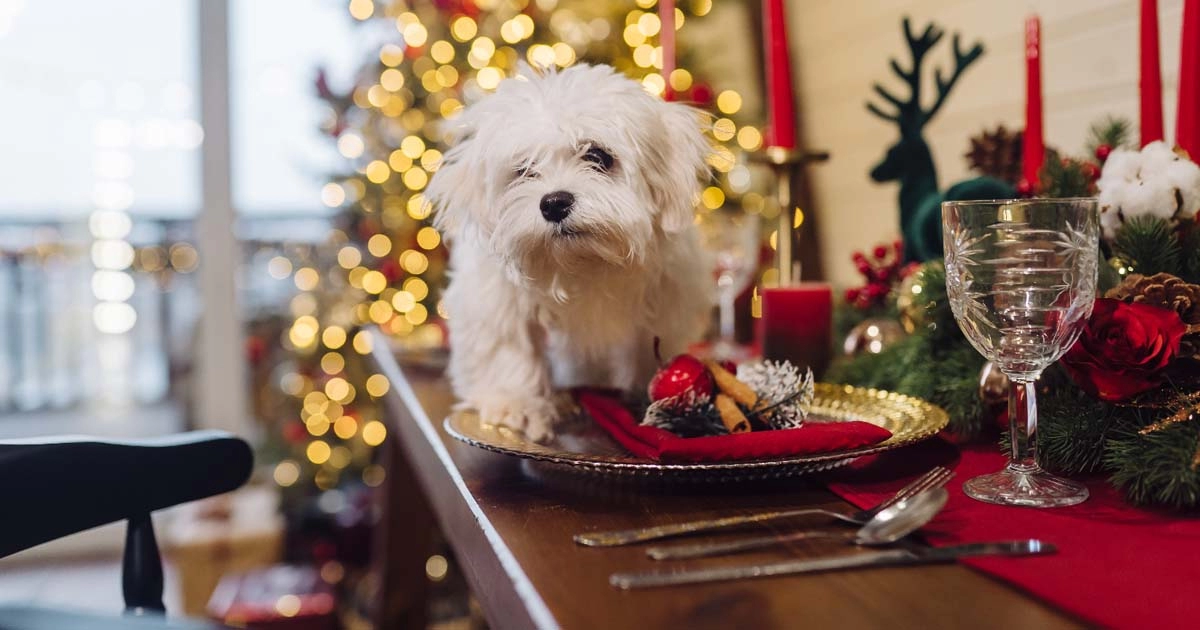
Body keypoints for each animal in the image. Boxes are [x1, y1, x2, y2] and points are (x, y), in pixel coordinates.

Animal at [427, 63, 710, 436]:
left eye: (597, 156)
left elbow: (645, 347)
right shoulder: (494, 299)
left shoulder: (663, 298)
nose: (554, 203)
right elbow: (508, 347)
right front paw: (515, 403)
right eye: (524, 169)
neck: (581, 260)